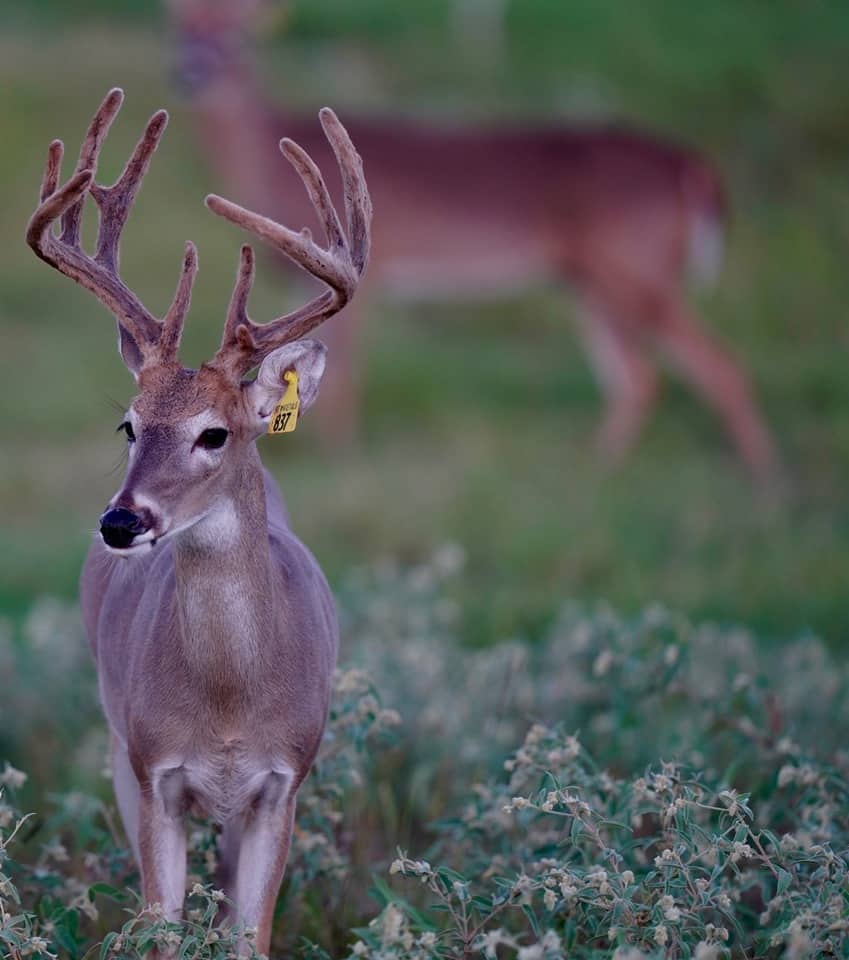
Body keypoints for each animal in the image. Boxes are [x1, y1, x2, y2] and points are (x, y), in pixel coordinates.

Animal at [26, 88, 371, 955]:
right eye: (128, 424)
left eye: (214, 433)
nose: (121, 523)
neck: (227, 712)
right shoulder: (153, 773)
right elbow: (160, 924)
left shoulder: (285, 780)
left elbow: (251, 935)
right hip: (115, 740)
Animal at [168, 0, 777, 481]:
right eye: (181, 25)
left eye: (236, 32)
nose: (191, 69)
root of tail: (694, 167)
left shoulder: (370, 274)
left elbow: (343, 382)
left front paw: (344, 462)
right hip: (589, 282)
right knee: (638, 379)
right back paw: (593, 471)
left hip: (634, 272)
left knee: (717, 367)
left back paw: (768, 489)